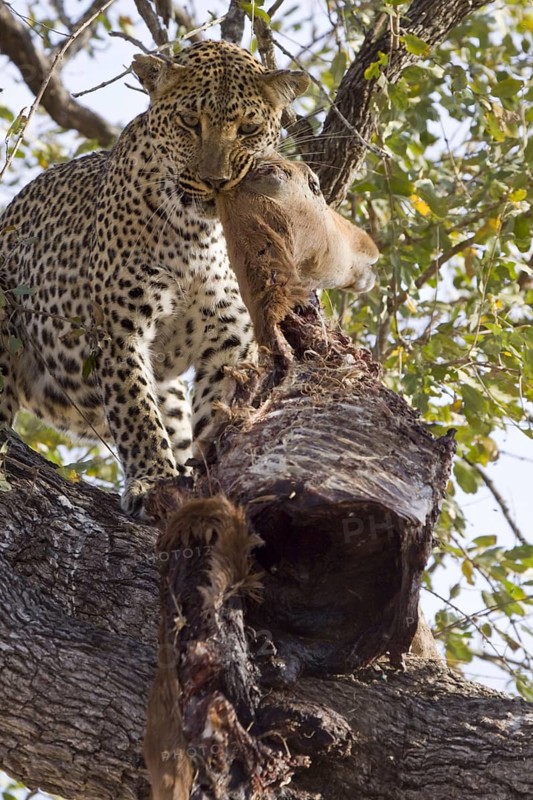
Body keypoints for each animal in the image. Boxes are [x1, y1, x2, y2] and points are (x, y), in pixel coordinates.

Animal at [0, 40, 309, 516]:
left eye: (248, 128)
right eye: (189, 122)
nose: (215, 181)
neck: (200, 236)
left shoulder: (229, 343)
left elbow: (216, 412)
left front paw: (205, 478)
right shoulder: (117, 331)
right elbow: (135, 411)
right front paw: (152, 480)